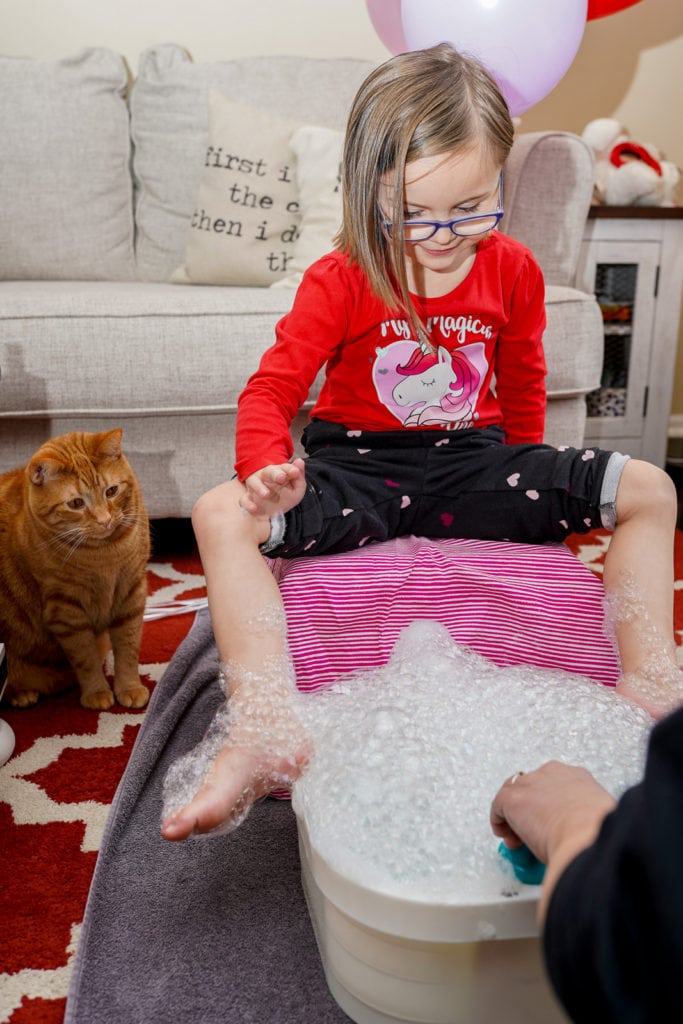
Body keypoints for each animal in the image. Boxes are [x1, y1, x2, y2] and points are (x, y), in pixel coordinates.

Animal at [0, 428, 150, 708]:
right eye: (76, 503)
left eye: (111, 491)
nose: (105, 520)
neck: (105, 554)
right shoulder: (66, 610)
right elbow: (85, 658)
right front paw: (96, 692)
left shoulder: (131, 593)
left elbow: (129, 648)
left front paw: (129, 687)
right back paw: (20, 694)